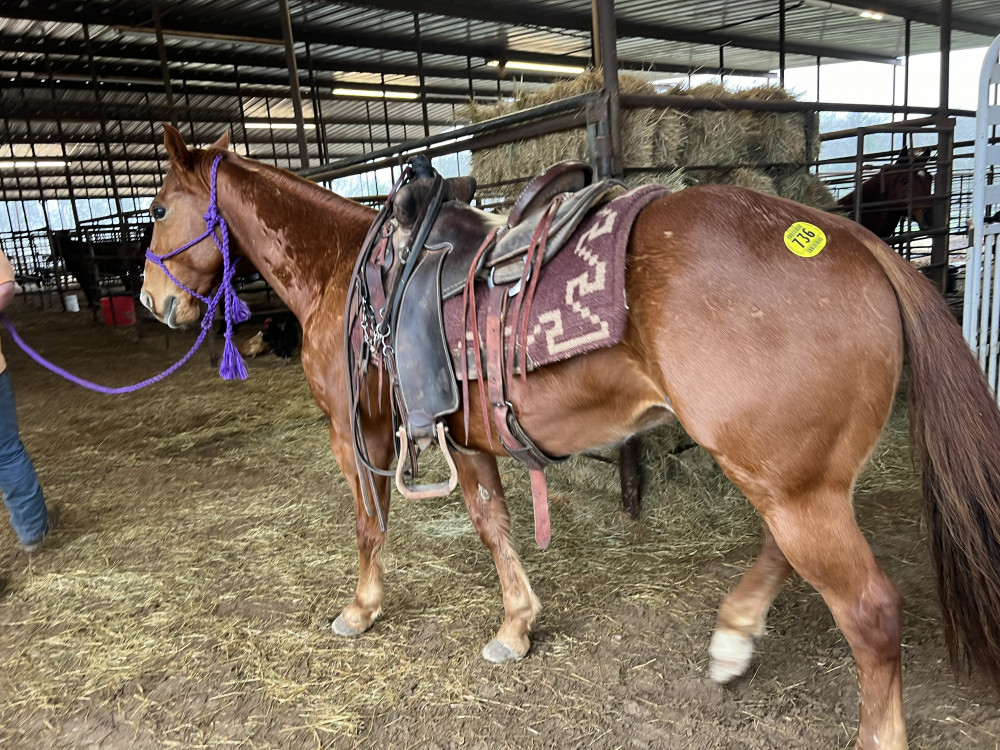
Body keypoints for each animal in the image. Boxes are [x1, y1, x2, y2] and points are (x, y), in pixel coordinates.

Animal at [139, 124, 1000, 750]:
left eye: (155, 210)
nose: (152, 301)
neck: (347, 270)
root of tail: (853, 241)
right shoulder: (464, 437)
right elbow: (491, 522)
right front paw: (517, 626)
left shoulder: (361, 436)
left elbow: (369, 524)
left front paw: (361, 609)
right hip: (790, 476)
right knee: (782, 553)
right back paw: (733, 636)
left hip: (793, 486)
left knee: (870, 612)